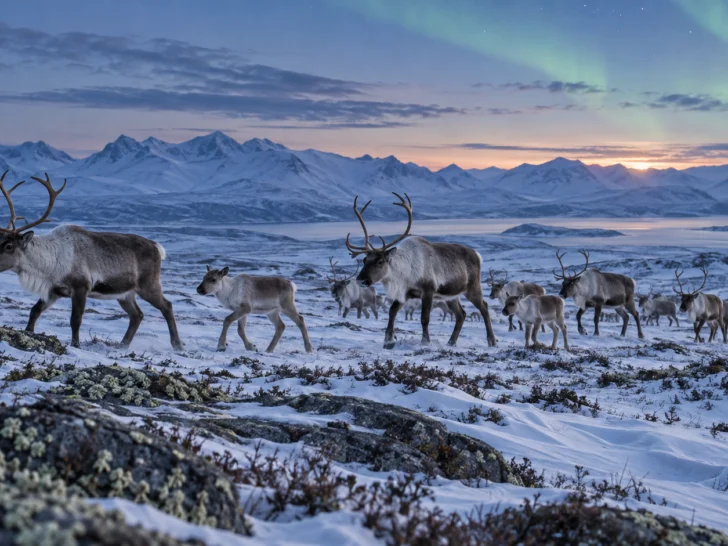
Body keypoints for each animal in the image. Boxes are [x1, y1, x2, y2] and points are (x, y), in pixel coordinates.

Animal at [0, 171, 184, 350]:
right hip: (125, 294)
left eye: (9, 245)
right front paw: (28, 332)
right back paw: (122, 345)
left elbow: (75, 320)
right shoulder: (53, 291)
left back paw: (177, 345)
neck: (49, 262)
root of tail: (156, 247)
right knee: (137, 315)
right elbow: (34, 311)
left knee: (167, 306)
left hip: (148, 285)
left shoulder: (81, 287)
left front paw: (76, 345)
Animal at [345, 193, 497, 349]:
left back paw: (491, 341)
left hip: (472, 288)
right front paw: (389, 340)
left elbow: (425, 318)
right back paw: (451, 342)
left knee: (484, 308)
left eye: (380, 261)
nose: (361, 280)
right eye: (364, 260)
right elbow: (392, 312)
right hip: (451, 295)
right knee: (461, 314)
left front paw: (425, 341)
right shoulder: (405, 293)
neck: (403, 271)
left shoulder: (428, 290)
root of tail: (477, 255)